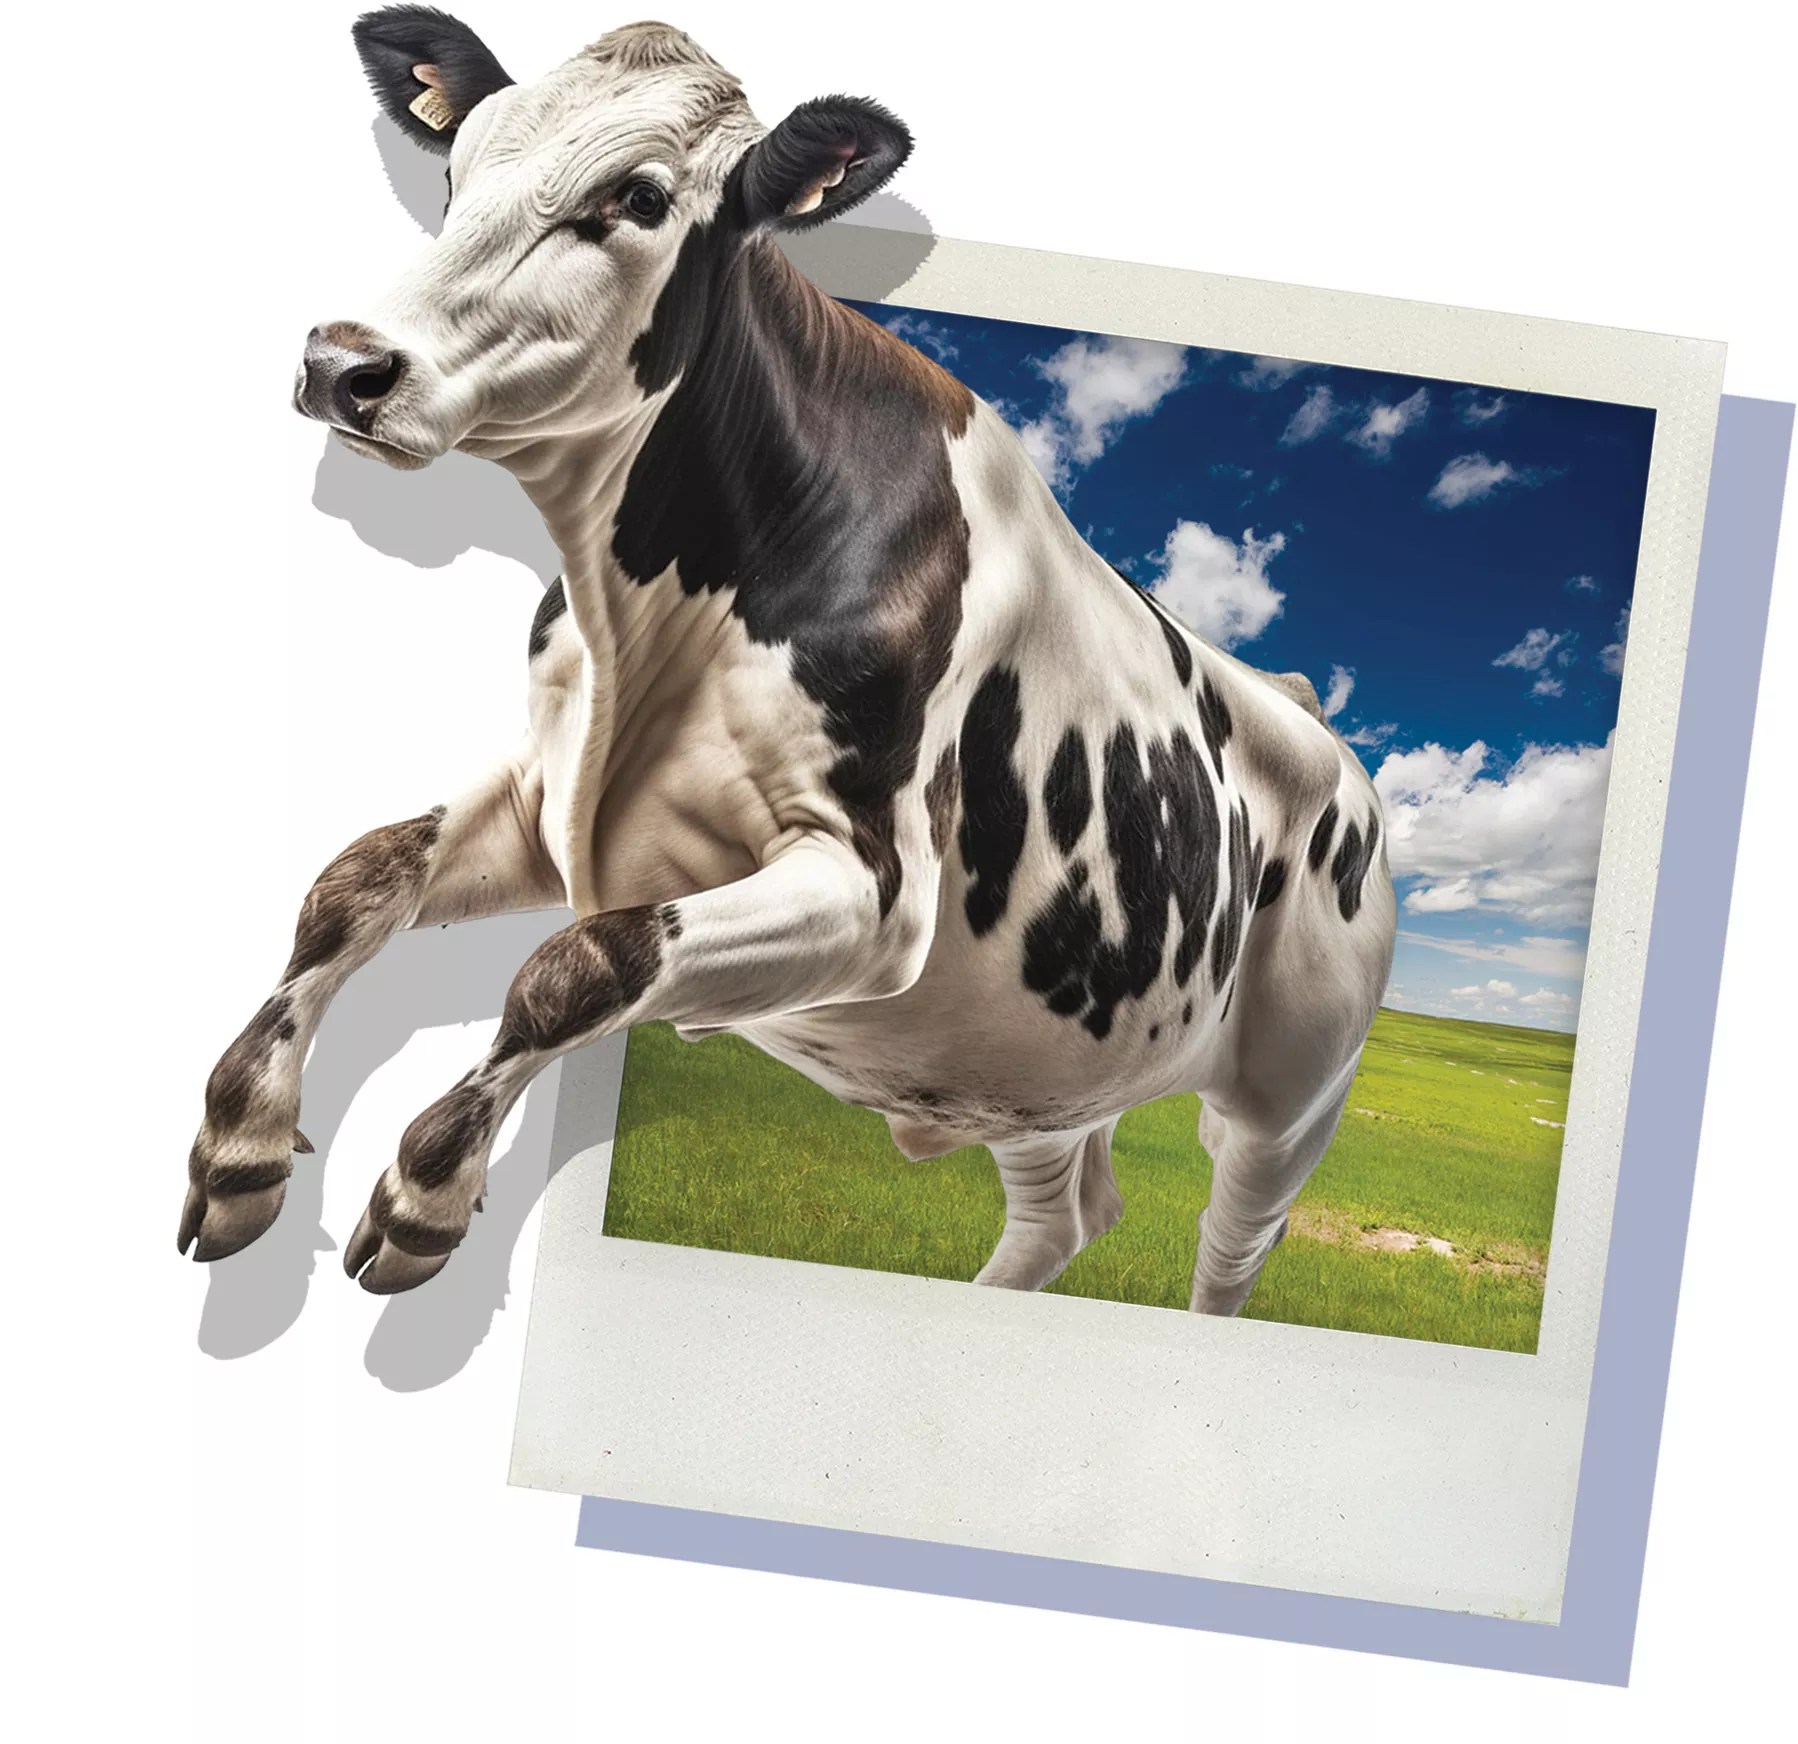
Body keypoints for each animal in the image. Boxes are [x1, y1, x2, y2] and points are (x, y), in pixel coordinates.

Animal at [180, 11, 1396, 1316]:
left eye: (637, 197)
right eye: (453, 175)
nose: (344, 364)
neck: (646, 623)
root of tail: (1308, 712)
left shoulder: (874, 892)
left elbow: (580, 964)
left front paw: (428, 1190)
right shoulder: (556, 799)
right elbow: (352, 882)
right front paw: (241, 1142)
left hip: (1291, 1096)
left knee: (1234, 1245)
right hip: (1036, 1064)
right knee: (1063, 1210)